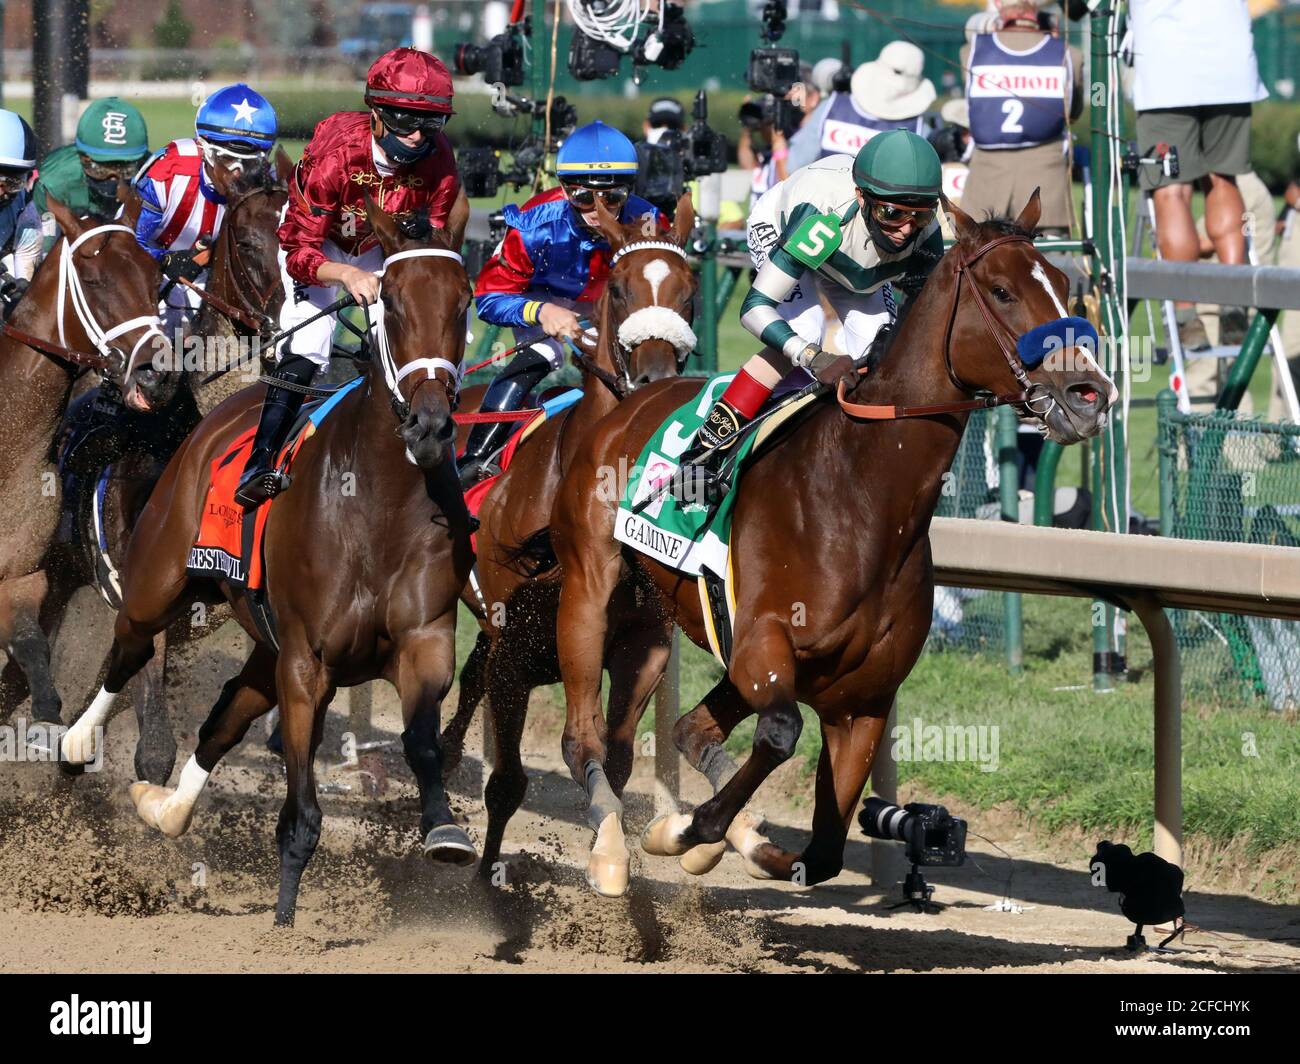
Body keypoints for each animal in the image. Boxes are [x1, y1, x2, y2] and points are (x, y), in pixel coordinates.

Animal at [62, 202, 478, 926]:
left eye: (462, 303)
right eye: (391, 304)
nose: (429, 426)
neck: (376, 504)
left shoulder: (422, 640)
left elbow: (423, 742)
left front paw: (445, 829)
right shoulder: (307, 663)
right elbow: (302, 812)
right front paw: (284, 921)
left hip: (262, 639)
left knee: (226, 713)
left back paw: (165, 809)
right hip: (159, 583)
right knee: (129, 649)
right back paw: (78, 742)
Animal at [439, 195, 702, 889]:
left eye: (688, 292)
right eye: (620, 285)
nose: (655, 375)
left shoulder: (645, 639)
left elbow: (615, 755)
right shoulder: (555, 624)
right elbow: (552, 755)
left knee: (470, 679)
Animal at [548, 195, 1118, 889]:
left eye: (1063, 283)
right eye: (1003, 291)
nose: (1090, 396)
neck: (861, 499)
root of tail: (631, 400)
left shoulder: (862, 703)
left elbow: (821, 851)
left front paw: (714, 837)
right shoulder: (761, 645)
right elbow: (780, 732)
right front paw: (687, 829)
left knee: (689, 731)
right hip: (589, 589)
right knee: (585, 738)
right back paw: (610, 851)